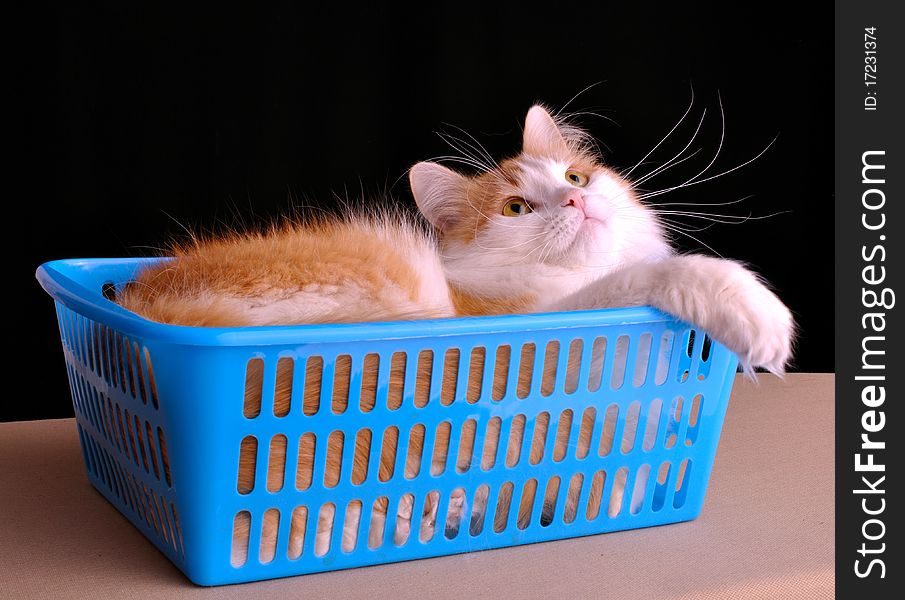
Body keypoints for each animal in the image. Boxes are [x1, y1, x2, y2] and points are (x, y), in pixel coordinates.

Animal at [118, 102, 792, 564]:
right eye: (516, 208)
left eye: (576, 178)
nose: (576, 204)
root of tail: (146, 325)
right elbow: (654, 275)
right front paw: (754, 310)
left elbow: (617, 475)